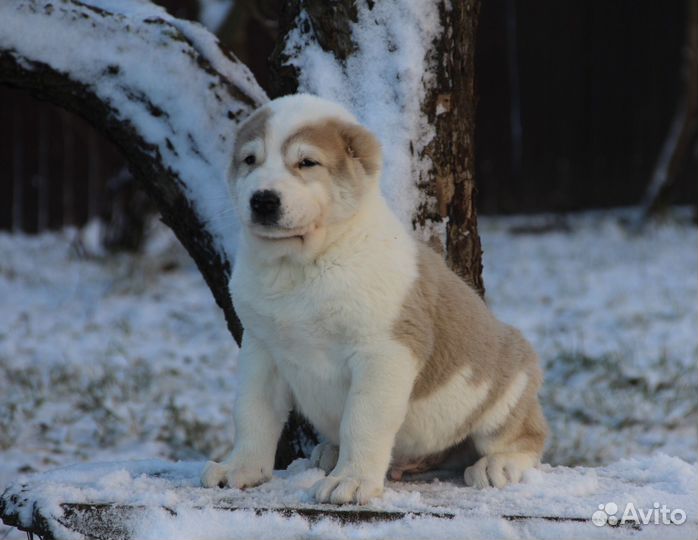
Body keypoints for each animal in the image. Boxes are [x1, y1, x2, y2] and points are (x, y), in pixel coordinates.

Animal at [198, 95, 548, 504]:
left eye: (307, 163)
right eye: (250, 160)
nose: (263, 200)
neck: (301, 266)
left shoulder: (383, 352)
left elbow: (363, 421)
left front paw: (351, 480)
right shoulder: (260, 349)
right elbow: (252, 413)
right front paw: (241, 469)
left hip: (507, 387)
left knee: (526, 437)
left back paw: (499, 464)